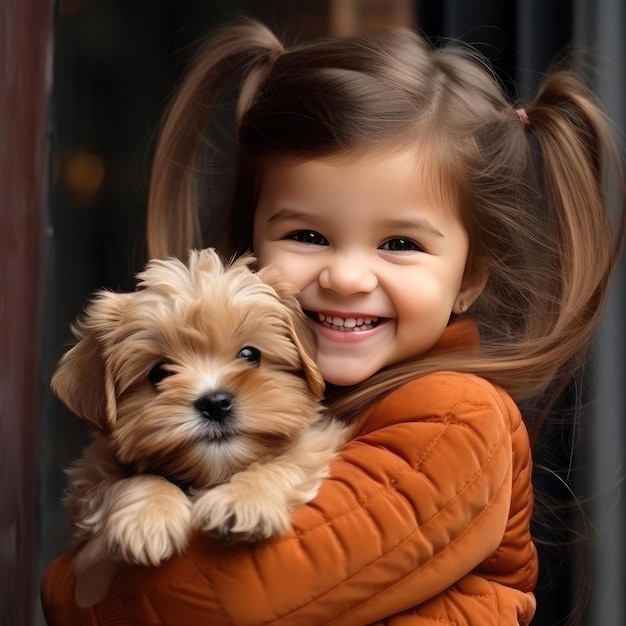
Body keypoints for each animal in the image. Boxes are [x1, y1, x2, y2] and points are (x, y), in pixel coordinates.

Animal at [51, 247, 348, 604]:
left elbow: (287, 460)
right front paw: (149, 516)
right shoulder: (88, 488)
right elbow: (127, 482)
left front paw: (242, 498)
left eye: (250, 354)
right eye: (159, 373)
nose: (215, 403)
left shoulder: (316, 438)